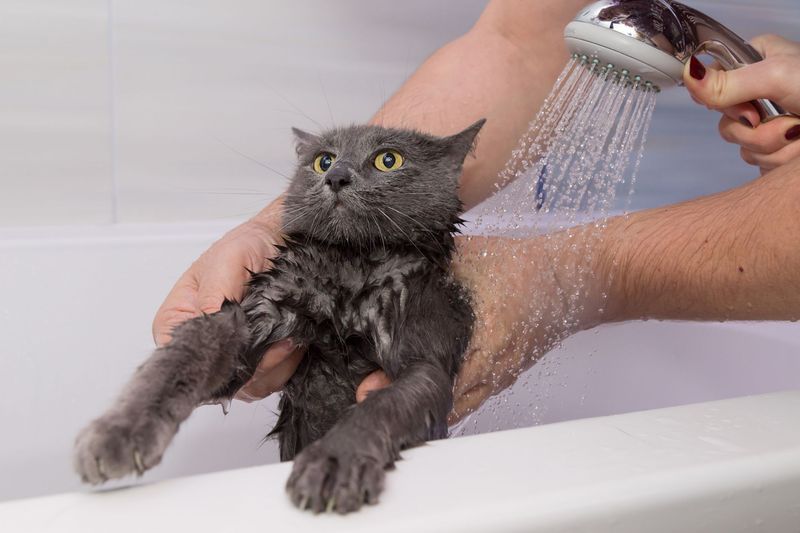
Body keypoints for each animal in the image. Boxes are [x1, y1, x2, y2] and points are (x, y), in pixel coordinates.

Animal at [72, 119, 484, 512]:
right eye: (323, 160)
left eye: (388, 159)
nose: (337, 177)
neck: (352, 266)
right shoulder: (262, 306)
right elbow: (183, 356)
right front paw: (118, 432)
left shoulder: (425, 349)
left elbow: (381, 405)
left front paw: (335, 460)